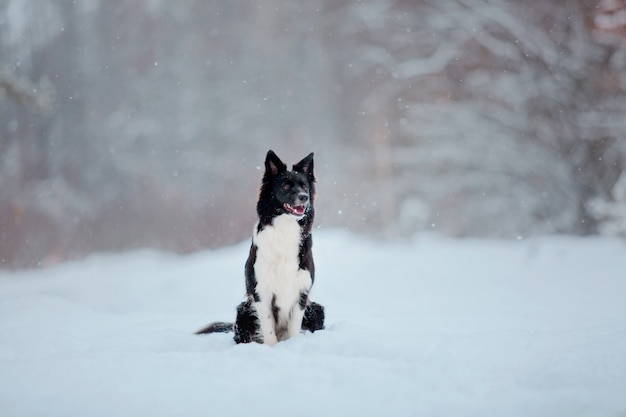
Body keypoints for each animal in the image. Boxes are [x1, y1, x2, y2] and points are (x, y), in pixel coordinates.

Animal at [195, 150, 324, 344]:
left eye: (304, 186)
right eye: (286, 186)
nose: (304, 197)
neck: (285, 228)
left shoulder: (302, 292)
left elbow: (295, 326)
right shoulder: (261, 292)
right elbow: (268, 329)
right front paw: (272, 347)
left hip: (316, 309)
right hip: (244, 311)